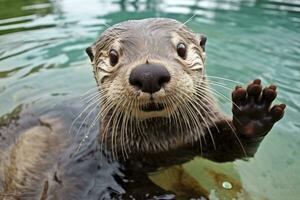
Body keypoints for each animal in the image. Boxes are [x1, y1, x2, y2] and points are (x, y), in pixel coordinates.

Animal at [0, 18, 286, 199]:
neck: (164, 146)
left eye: (181, 48)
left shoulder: (202, 137)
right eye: (113, 56)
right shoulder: (115, 158)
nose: (149, 74)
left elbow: (233, 149)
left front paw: (253, 112)